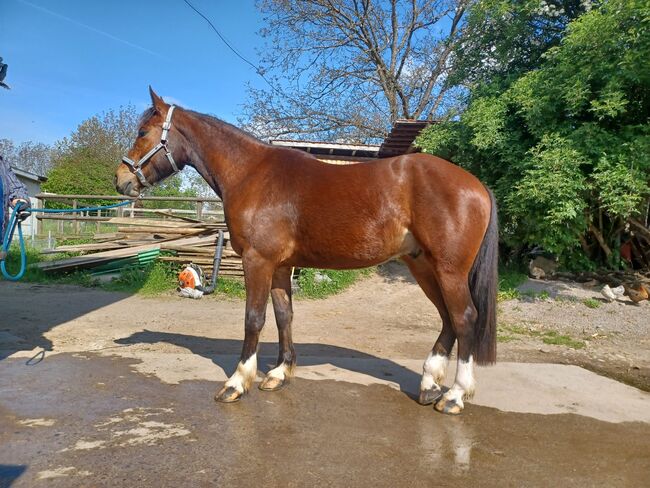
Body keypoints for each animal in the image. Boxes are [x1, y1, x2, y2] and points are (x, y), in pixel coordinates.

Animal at [115, 88, 496, 416]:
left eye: (143, 132)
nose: (121, 180)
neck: (252, 174)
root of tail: (476, 184)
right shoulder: (281, 267)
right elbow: (284, 316)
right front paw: (278, 374)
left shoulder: (257, 261)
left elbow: (254, 319)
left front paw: (237, 382)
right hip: (423, 266)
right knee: (447, 318)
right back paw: (430, 384)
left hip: (448, 270)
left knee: (464, 318)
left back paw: (455, 395)